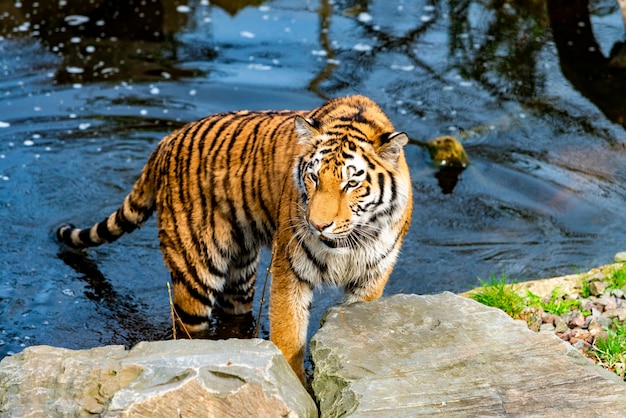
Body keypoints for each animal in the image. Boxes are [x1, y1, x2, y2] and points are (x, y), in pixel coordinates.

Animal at [56, 94, 412, 382]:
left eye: (351, 183)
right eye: (313, 177)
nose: (318, 225)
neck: (349, 243)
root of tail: (167, 140)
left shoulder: (370, 278)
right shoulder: (290, 271)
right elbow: (288, 338)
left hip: (239, 274)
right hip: (195, 274)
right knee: (187, 328)